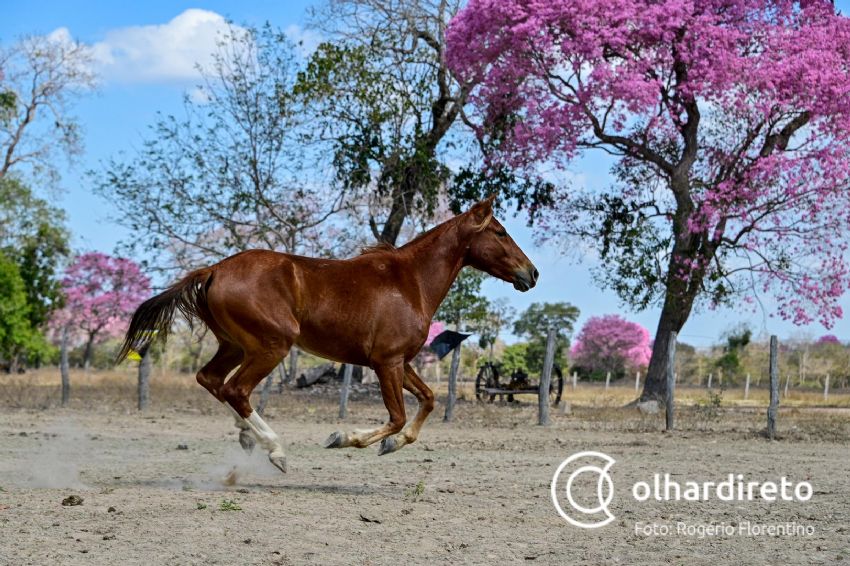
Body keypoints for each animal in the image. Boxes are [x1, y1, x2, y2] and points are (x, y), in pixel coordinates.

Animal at [117, 196, 536, 474]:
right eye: (500, 232)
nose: (531, 274)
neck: (411, 281)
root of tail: (214, 269)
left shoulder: (402, 362)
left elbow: (429, 401)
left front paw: (390, 445)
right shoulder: (386, 362)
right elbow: (398, 416)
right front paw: (346, 438)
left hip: (234, 345)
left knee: (212, 380)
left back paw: (247, 436)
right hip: (272, 345)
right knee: (235, 390)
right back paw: (276, 450)